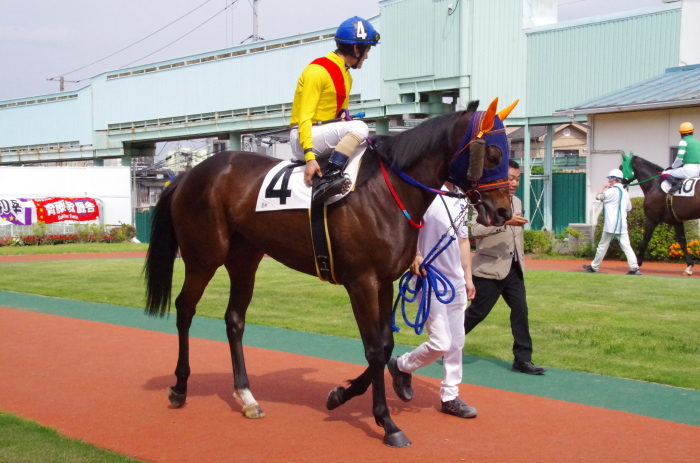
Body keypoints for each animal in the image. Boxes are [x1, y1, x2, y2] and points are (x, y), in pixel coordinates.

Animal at [144, 99, 516, 448]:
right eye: (494, 153)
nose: (503, 211)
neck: (384, 191)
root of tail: (187, 175)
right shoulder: (362, 282)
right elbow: (373, 349)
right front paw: (387, 423)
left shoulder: (384, 281)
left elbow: (385, 344)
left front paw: (341, 394)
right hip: (204, 256)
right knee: (185, 309)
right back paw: (179, 387)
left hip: (244, 258)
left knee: (234, 319)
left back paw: (247, 397)